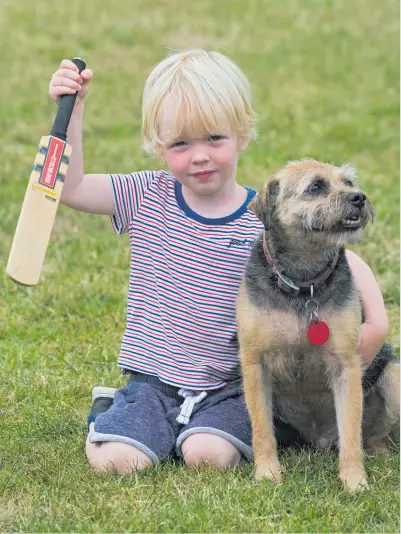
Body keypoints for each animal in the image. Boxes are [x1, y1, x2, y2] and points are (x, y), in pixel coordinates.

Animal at [236, 160, 398, 494]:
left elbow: (350, 431)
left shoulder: (346, 365)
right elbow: (261, 428)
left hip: (394, 377)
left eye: (348, 182)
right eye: (315, 187)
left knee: (373, 436)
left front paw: (354, 481)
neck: (303, 282)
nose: (359, 197)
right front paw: (267, 474)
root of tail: (320, 442)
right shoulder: (254, 364)